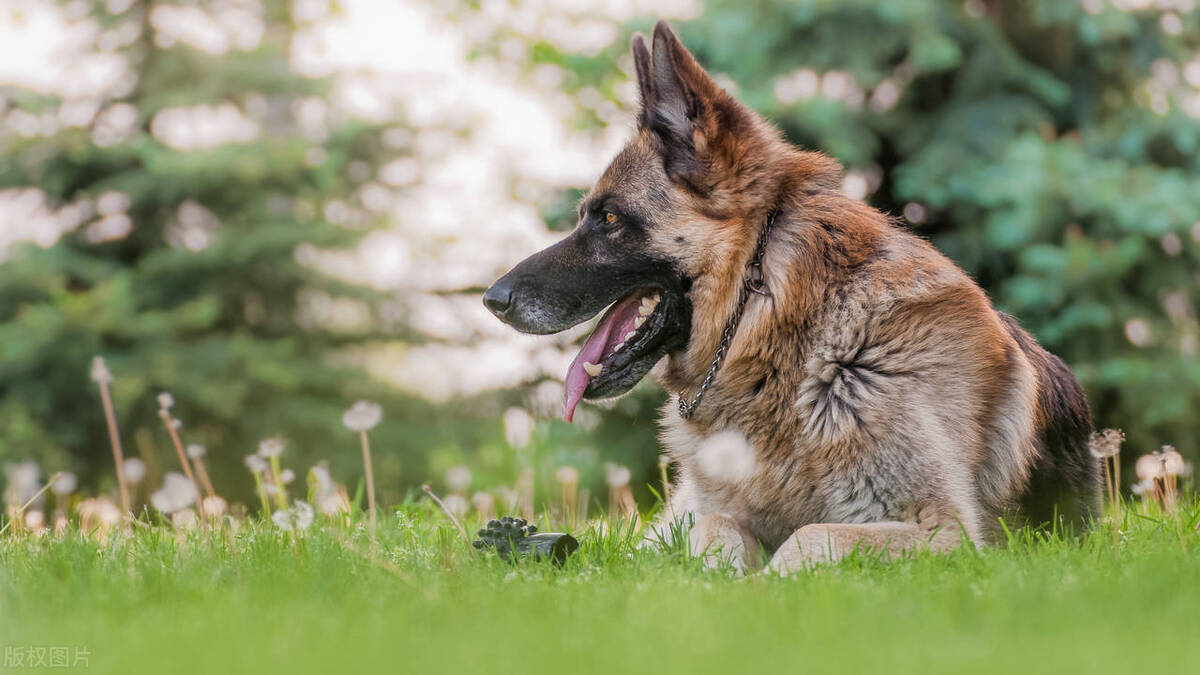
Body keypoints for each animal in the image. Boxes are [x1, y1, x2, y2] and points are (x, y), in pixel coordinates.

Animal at [480, 19, 1099, 566]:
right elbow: (715, 531)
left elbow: (808, 537)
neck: (784, 328)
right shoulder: (708, 514)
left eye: (608, 218)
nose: (493, 300)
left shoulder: (945, 530)